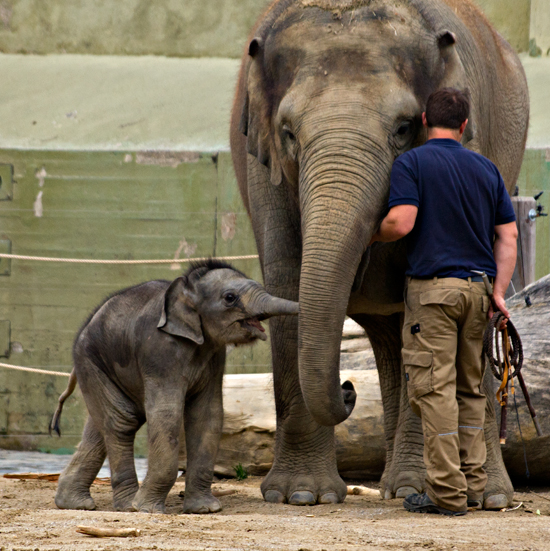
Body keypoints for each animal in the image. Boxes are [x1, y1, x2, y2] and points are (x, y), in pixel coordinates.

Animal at [51, 260, 300, 516]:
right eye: (230, 298)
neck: (186, 290)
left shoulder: (214, 356)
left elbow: (206, 416)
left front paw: (205, 509)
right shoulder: (161, 352)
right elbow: (167, 414)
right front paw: (148, 510)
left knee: (101, 427)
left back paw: (75, 503)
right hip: (91, 361)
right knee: (123, 421)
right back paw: (127, 506)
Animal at [230, 0, 532, 508]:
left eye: (404, 128)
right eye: (288, 133)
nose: (349, 388)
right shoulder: (261, 165)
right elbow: (287, 278)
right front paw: (302, 496)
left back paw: (463, 494)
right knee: (392, 334)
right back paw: (404, 486)